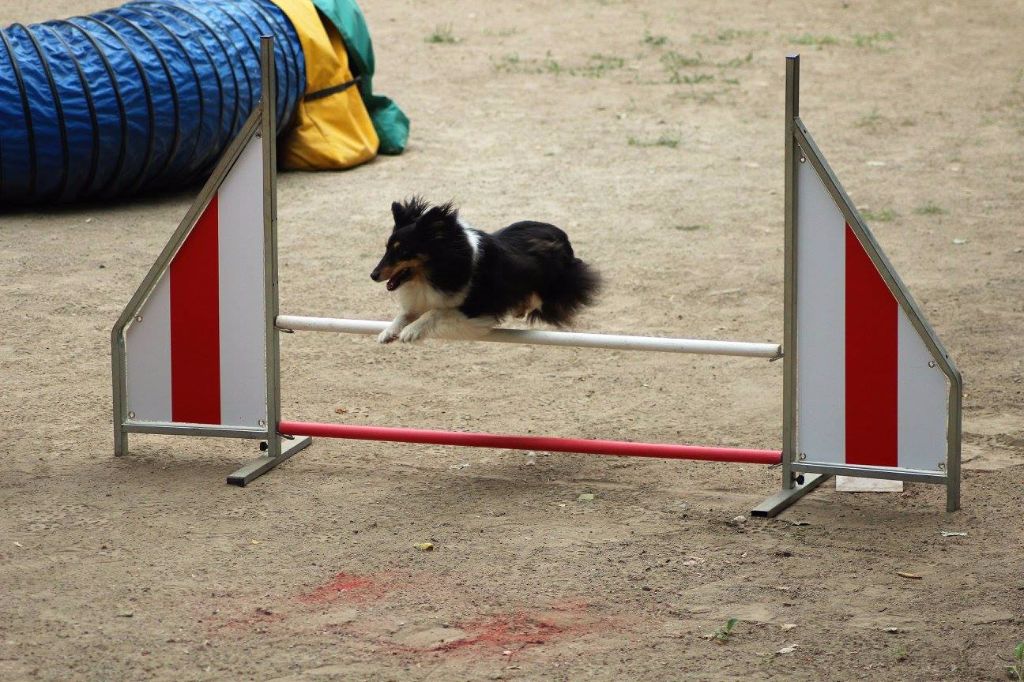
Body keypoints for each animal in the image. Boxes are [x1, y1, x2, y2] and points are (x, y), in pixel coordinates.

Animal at [370, 199, 598, 342]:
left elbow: (436, 312)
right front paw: (388, 333)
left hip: (555, 286)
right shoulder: (423, 297)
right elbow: (405, 313)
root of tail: (562, 234)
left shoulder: (474, 308)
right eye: (387, 248)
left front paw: (410, 332)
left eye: (403, 252)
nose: (373, 275)